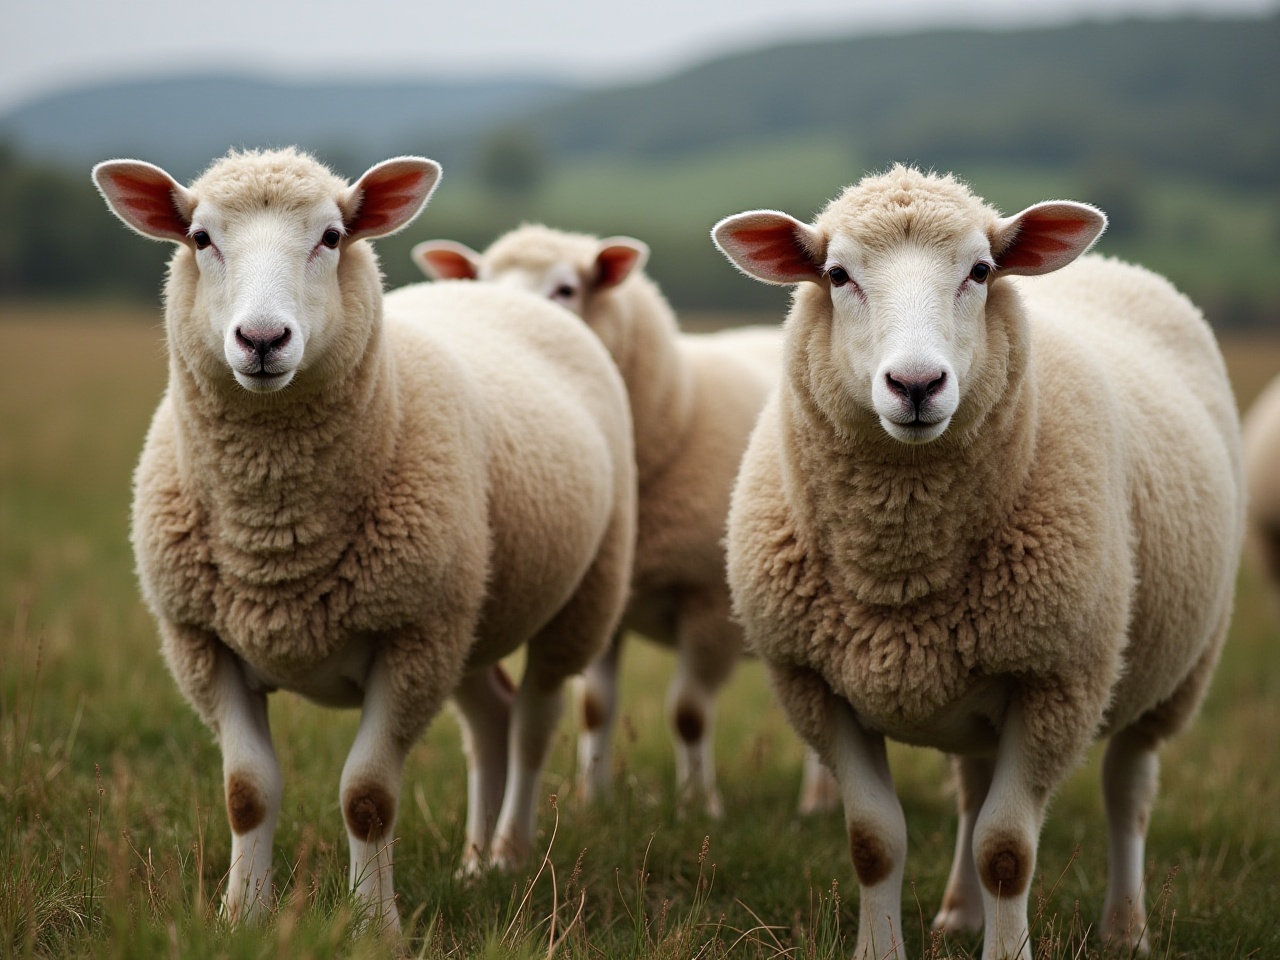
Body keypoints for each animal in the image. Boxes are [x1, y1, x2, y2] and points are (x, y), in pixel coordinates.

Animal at [91, 149, 635, 932]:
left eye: (331, 236)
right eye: (199, 238)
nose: (262, 341)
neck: (277, 533)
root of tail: (498, 294)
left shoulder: (410, 640)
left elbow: (368, 797)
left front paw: (374, 925)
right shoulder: (201, 642)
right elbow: (247, 791)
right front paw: (242, 916)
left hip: (572, 600)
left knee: (534, 722)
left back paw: (509, 852)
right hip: (466, 613)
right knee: (491, 720)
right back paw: (475, 866)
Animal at [412, 225, 838, 817]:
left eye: (566, 289)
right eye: (480, 282)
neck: (676, 411)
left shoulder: (708, 605)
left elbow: (688, 713)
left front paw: (697, 806)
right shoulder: (607, 596)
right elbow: (595, 706)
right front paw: (592, 800)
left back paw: (820, 803)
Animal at [712, 165, 1243, 960]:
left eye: (981, 272)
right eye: (837, 275)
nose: (916, 385)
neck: (900, 574)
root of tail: (1120, 266)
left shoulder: (1057, 683)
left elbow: (1007, 850)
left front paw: (1009, 946)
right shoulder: (816, 686)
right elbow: (874, 841)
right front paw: (881, 948)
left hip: (1173, 673)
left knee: (1127, 792)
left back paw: (1126, 927)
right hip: (970, 685)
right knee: (972, 786)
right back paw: (959, 912)